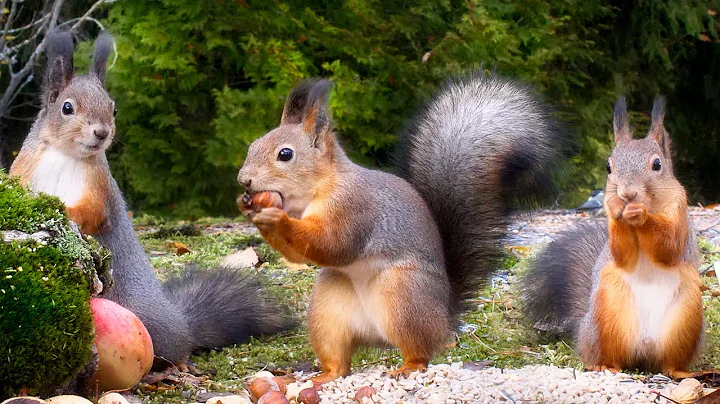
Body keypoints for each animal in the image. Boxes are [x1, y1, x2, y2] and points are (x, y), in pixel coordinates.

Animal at [10, 31, 294, 368]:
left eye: (113, 109)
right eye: (67, 108)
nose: (102, 133)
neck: (64, 154)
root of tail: (182, 324)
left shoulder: (100, 191)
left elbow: (92, 213)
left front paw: (63, 210)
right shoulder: (23, 171)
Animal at [237, 74, 567, 382]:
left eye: (285, 154)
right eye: (252, 146)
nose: (243, 180)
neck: (315, 191)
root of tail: (444, 315)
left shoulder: (355, 208)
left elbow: (334, 244)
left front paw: (276, 218)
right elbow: (298, 256)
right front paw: (249, 208)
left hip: (403, 297)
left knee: (419, 350)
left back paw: (409, 367)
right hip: (327, 312)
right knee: (338, 359)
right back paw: (324, 375)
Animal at [521, 97, 703, 378]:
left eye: (657, 164)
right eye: (609, 166)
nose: (627, 194)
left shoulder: (680, 213)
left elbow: (669, 248)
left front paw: (641, 216)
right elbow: (622, 254)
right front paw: (620, 209)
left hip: (686, 318)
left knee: (670, 362)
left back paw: (682, 372)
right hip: (608, 313)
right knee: (612, 355)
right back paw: (604, 365)